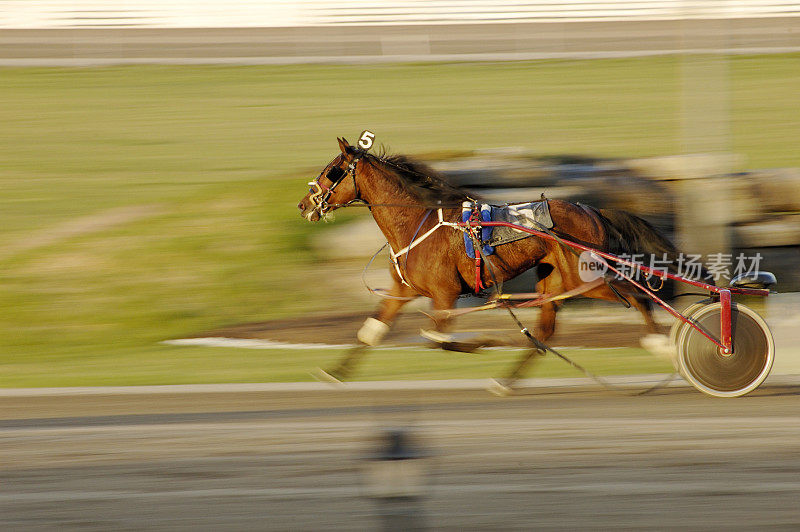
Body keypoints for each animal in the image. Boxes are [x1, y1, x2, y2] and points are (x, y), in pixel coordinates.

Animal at [296, 137, 684, 386]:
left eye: (332, 171)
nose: (303, 204)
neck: (415, 223)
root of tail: (591, 209)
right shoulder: (403, 290)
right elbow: (372, 331)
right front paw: (334, 373)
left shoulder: (445, 293)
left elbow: (437, 337)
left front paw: (483, 340)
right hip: (554, 280)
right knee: (545, 332)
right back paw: (506, 381)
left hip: (587, 279)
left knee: (638, 296)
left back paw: (662, 345)